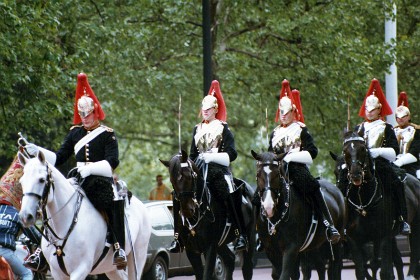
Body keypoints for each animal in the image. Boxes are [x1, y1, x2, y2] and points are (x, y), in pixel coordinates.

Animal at [18, 152, 153, 278]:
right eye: (21, 182)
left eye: (41, 180)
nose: (25, 216)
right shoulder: (57, 273)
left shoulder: (81, 269)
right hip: (111, 268)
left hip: (137, 257)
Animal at [251, 151, 346, 280]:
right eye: (258, 174)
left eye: (277, 174)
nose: (268, 207)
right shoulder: (271, 250)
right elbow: (282, 274)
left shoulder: (291, 248)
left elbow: (285, 275)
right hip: (313, 246)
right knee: (319, 267)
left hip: (336, 241)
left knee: (334, 268)